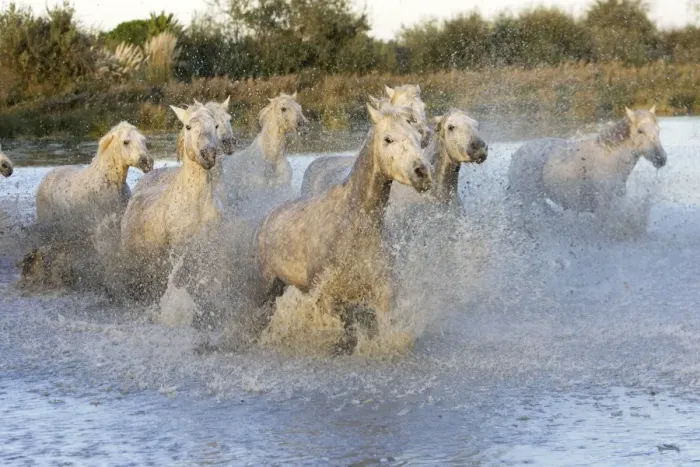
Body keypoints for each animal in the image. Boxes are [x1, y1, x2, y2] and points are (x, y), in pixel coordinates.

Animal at [255, 102, 432, 351]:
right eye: (388, 139)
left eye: (418, 137)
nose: (422, 172)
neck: (354, 227)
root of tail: (268, 218)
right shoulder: (327, 296)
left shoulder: (383, 292)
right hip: (266, 287)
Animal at [507, 107, 667, 217]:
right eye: (640, 131)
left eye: (658, 130)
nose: (661, 159)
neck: (611, 159)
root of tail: (518, 154)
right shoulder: (603, 207)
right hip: (526, 198)